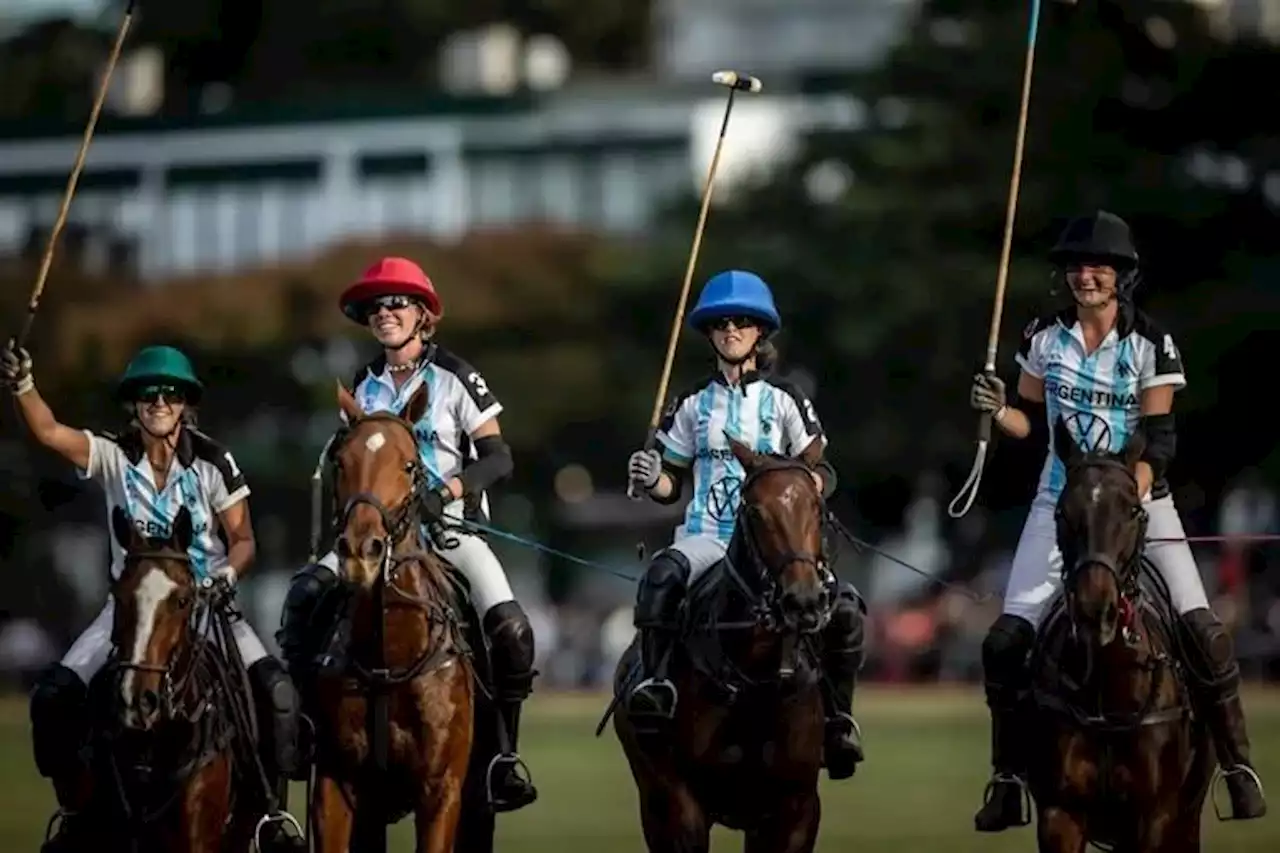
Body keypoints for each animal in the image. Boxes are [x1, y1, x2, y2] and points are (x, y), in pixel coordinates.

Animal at [307, 381, 478, 850]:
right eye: (341, 462)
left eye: (408, 465)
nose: (360, 553)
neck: (389, 658)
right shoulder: (335, 784)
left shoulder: (442, 791)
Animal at [611, 438, 834, 850]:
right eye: (756, 510)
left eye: (816, 507)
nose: (803, 601)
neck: (755, 674)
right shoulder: (680, 801)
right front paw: (647, 470)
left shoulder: (797, 807)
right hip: (650, 797)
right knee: (666, 571)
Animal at [1024, 417, 1213, 850]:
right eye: (1061, 512)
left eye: (1134, 511)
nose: (1097, 611)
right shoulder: (1060, 814)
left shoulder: (1156, 816)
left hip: (1188, 817)